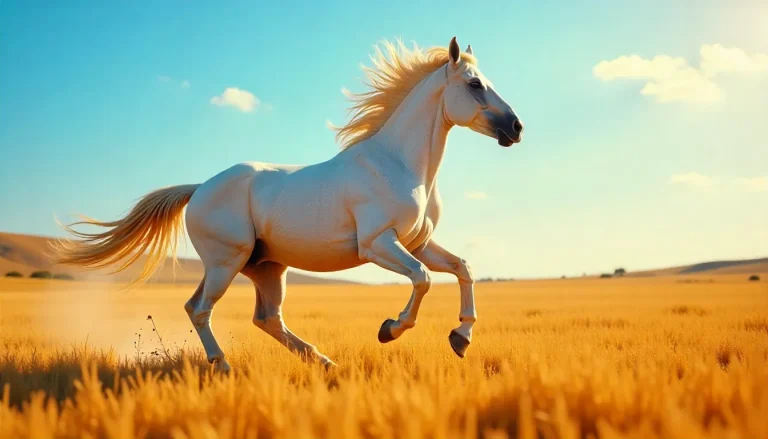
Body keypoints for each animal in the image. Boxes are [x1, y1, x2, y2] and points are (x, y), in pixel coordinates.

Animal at [53, 37, 524, 372]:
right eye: (475, 84)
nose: (516, 128)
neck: (397, 163)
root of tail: (200, 187)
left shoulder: (419, 242)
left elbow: (462, 268)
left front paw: (460, 338)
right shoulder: (377, 244)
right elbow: (423, 280)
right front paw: (389, 330)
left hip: (266, 268)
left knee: (265, 318)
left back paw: (323, 361)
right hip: (226, 261)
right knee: (200, 308)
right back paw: (223, 365)